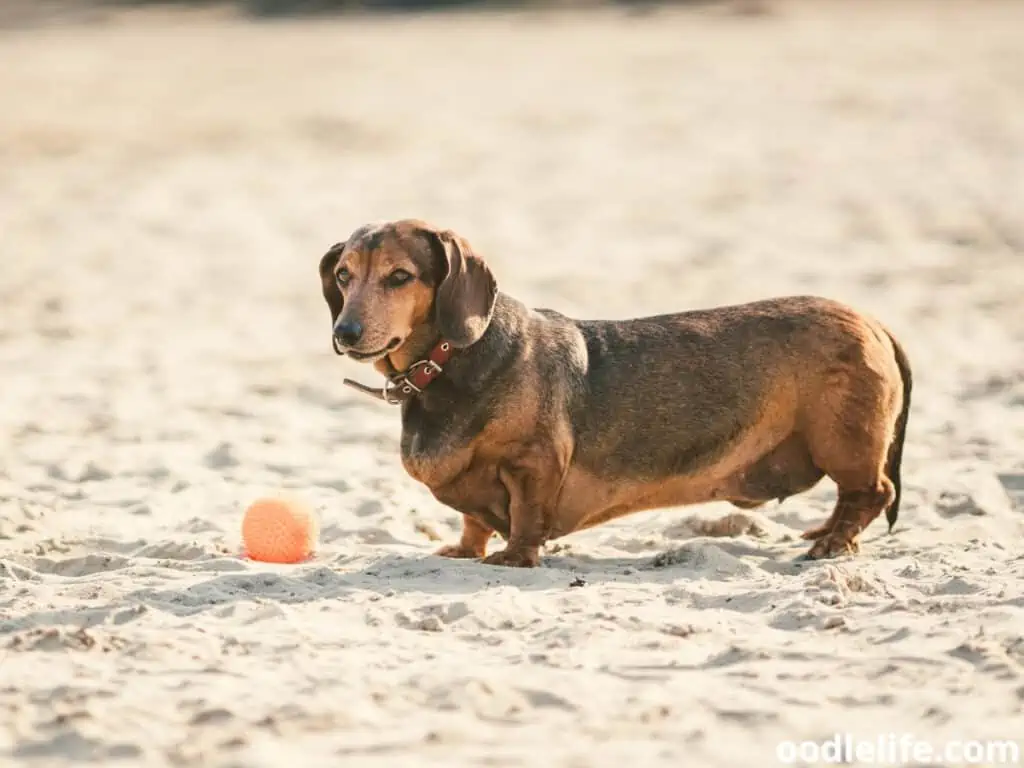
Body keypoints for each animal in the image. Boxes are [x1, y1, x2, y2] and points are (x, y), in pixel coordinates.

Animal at [319, 219, 913, 569]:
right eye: (343, 275)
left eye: (400, 276)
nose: (344, 334)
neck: (450, 361)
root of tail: (874, 322)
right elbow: (473, 520)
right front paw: (466, 550)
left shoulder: (533, 464)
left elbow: (526, 516)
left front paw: (514, 558)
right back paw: (826, 531)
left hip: (842, 441)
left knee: (873, 492)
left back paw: (833, 544)